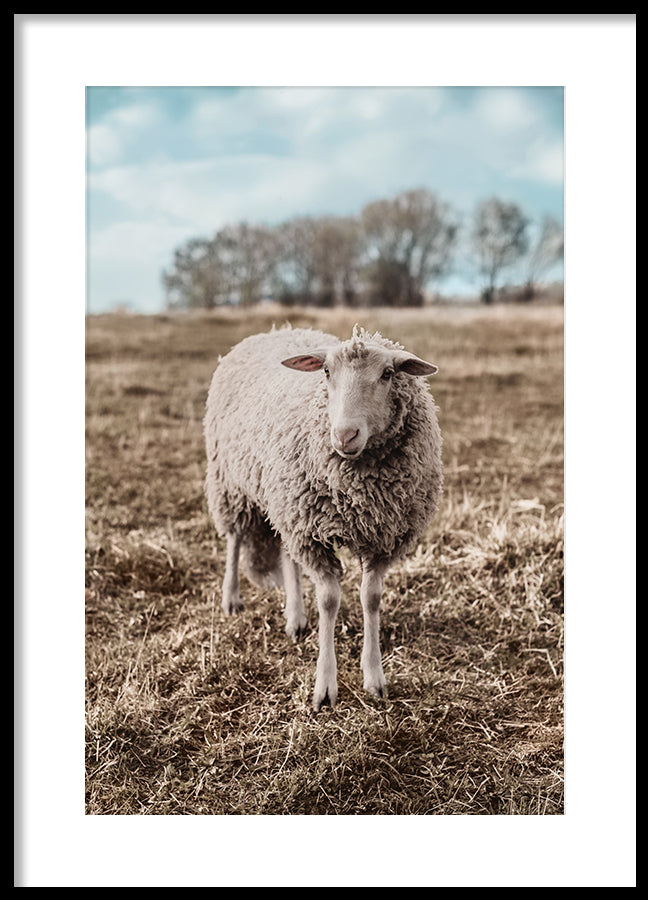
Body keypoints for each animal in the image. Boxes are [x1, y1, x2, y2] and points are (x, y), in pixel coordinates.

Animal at [204, 323, 442, 711]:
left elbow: (371, 598)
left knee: (286, 553)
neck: (359, 491)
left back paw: (296, 617)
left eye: (387, 374)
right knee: (235, 538)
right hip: (231, 482)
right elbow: (329, 601)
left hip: (286, 503)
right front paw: (325, 686)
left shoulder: (381, 536)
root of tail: (277, 330)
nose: (344, 435)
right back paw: (232, 598)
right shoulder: (312, 533)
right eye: (327, 371)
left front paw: (374, 677)